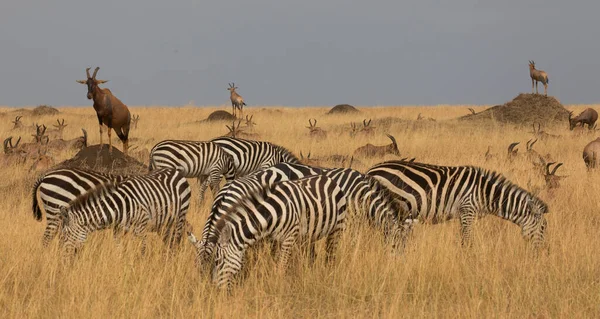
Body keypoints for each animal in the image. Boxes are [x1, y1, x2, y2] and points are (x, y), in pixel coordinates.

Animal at [58, 169, 190, 262]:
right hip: (164, 223)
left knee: (175, 241)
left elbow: (142, 249)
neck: (118, 207)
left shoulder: (141, 228)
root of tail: (175, 171)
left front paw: (141, 267)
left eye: (65, 234)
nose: (63, 259)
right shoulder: (118, 230)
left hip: (180, 217)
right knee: (169, 242)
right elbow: (119, 250)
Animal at [199, 174, 346, 292]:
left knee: (331, 254)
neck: (273, 213)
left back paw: (330, 275)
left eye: (219, 261)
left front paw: (279, 286)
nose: (217, 289)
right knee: (312, 254)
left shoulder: (289, 237)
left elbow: (281, 265)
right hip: (310, 233)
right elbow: (275, 261)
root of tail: (328, 178)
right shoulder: (274, 239)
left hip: (337, 228)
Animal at [366, 161, 548, 249]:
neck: (485, 193)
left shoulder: (465, 214)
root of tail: (372, 169)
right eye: (543, 228)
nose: (542, 253)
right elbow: (467, 241)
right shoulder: (468, 210)